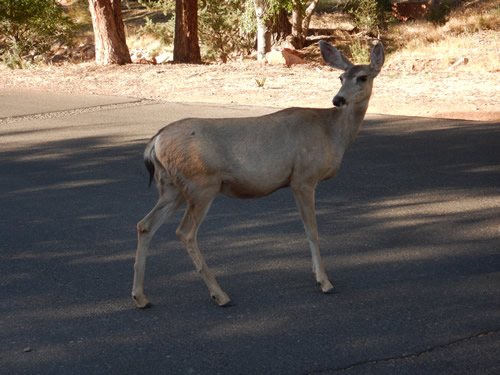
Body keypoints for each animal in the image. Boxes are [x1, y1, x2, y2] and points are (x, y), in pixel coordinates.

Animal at [131, 41, 384, 310]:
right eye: (341, 77)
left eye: (362, 77)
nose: (338, 99)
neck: (332, 133)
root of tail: (155, 141)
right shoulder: (303, 178)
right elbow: (312, 230)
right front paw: (324, 282)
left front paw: (318, 276)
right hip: (201, 184)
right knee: (185, 232)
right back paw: (220, 295)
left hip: (172, 187)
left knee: (145, 225)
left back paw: (140, 297)